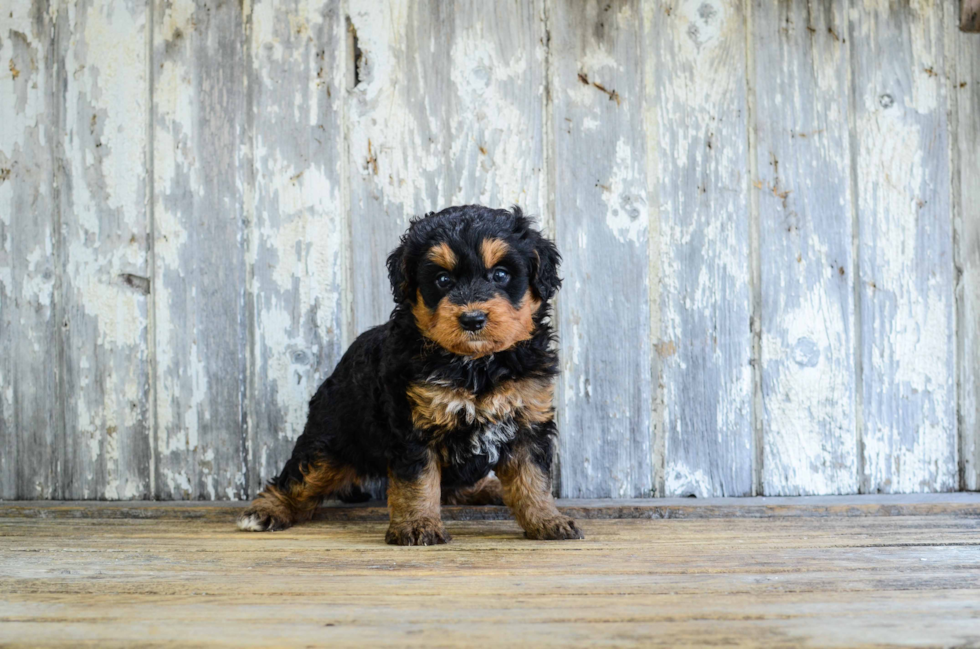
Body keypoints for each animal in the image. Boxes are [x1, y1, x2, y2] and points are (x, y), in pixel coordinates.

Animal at [238, 205, 580, 544]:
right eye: (442, 279)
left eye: (500, 275)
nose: (472, 319)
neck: (477, 364)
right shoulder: (414, 424)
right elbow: (418, 481)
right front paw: (418, 526)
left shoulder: (527, 420)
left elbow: (533, 478)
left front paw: (547, 519)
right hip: (331, 438)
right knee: (302, 476)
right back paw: (267, 510)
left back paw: (488, 488)